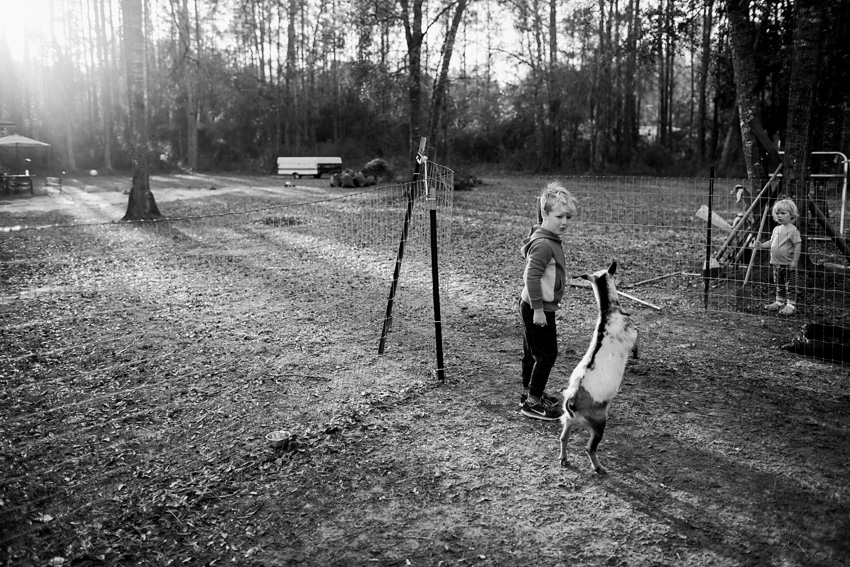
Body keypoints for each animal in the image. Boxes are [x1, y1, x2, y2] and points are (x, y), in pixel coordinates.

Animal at [556, 262, 636, 474]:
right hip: (599, 423)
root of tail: (572, 400)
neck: (608, 312)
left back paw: (564, 458)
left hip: (567, 418)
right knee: (590, 447)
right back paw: (599, 468)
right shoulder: (633, 333)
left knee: (563, 437)